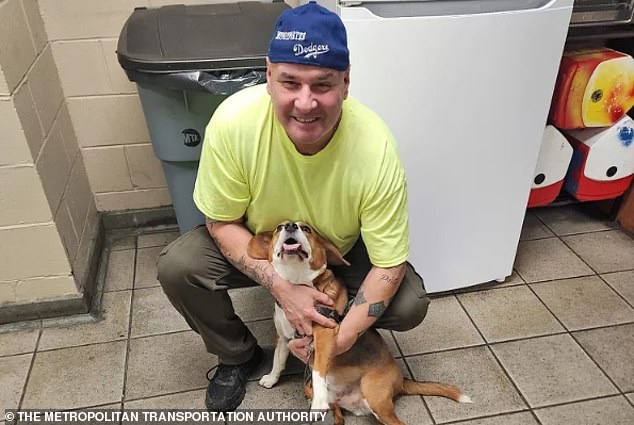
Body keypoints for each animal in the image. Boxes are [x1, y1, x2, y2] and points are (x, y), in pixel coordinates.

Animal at [247, 220, 470, 424]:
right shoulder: (283, 337)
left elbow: (318, 370)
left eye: (307, 229)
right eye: (278, 227)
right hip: (315, 391)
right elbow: (278, 359)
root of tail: (401, 379)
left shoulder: (324, 334)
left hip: (375, 396)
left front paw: (318, 403)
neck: (297, 282)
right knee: (338, 415)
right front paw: (271, 378)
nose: (290, 226)